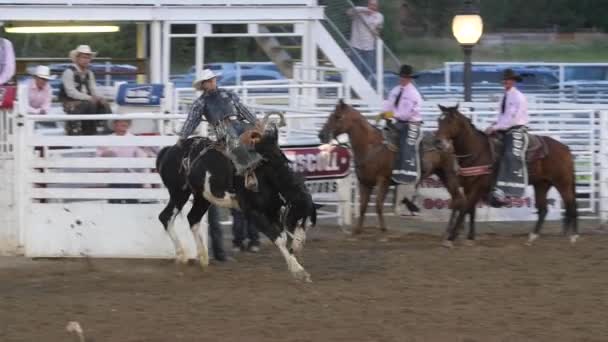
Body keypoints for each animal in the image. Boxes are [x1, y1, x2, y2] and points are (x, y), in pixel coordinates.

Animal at [316, 99, 464, 235]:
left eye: (337, 116)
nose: (321, 134)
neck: (372, 147)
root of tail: (448, 142)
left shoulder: (384, 181)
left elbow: (378, 205)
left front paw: (383, 229)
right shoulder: (365, 182)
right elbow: (363, 206)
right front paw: (358, 230)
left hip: (449, 174)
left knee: (458, 198)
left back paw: (453, 230)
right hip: (443, 174)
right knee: (457, 198)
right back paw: (452, 229)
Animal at [432, 104, 580, 246]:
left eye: (450, 121)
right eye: (439, 120)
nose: (438, 142)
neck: (477, 150)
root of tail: (565, 148)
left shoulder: (478, 186)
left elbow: (465, 209)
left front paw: (450, 239)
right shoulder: (470, 186)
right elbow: (471, 210)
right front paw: (470, 238)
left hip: (562, 182)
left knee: (571, 205)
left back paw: (573, 237)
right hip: (542, 184)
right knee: (543, 209)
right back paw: (531, 238)